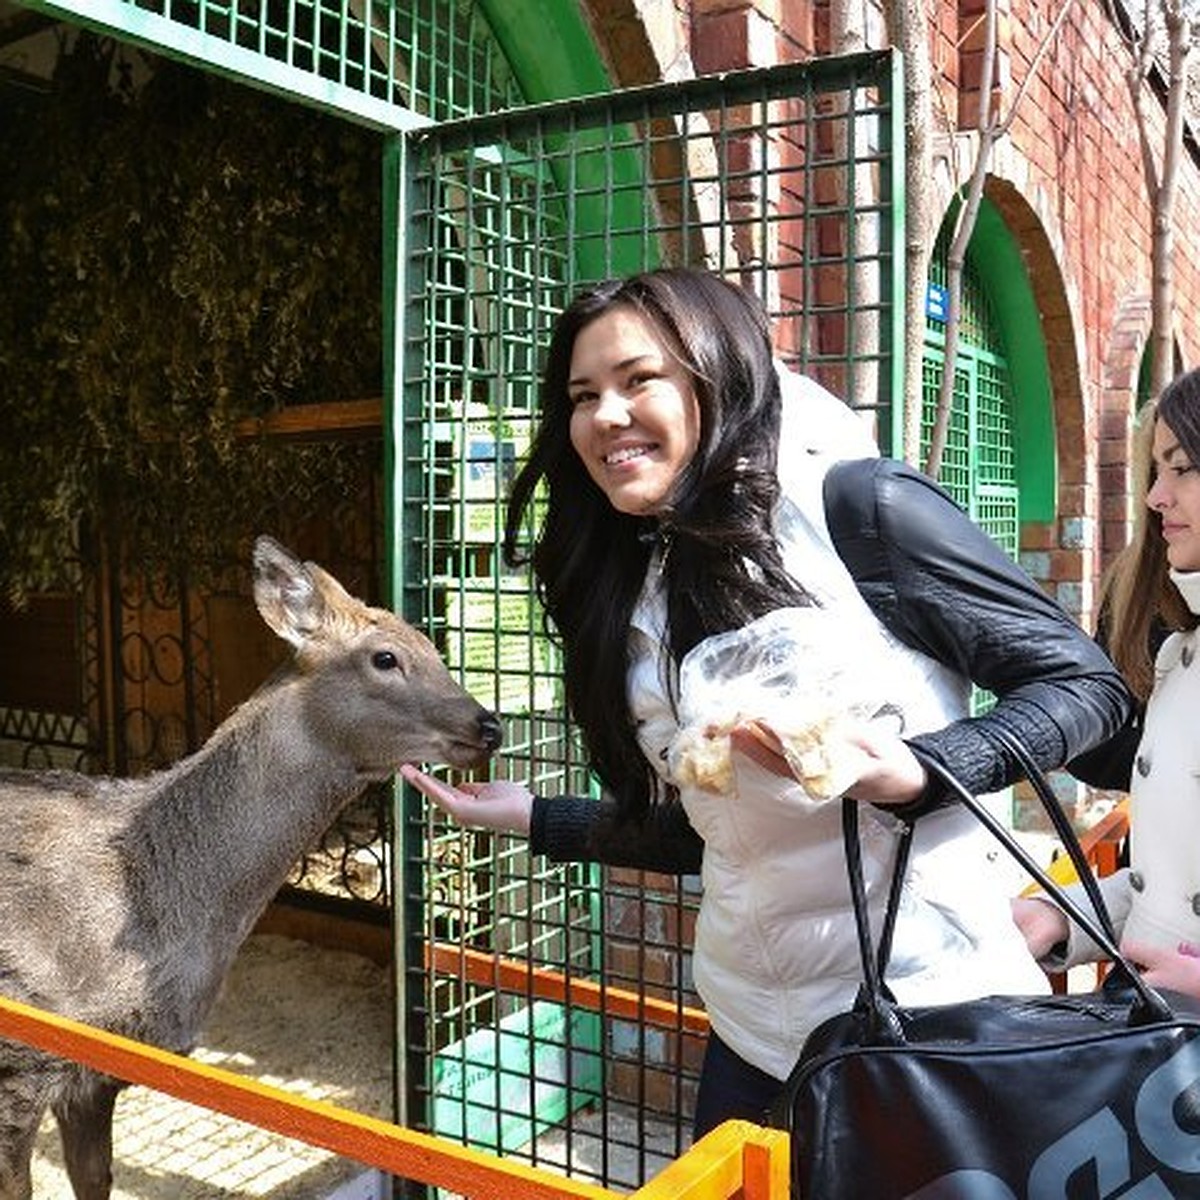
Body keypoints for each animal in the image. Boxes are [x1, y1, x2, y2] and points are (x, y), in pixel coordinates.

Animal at [0, 537, 501, 1200]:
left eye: (430, 645)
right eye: (385, 657)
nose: (488, 724)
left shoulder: (99, 1071)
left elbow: (95, 1179)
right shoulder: (19, 1062)